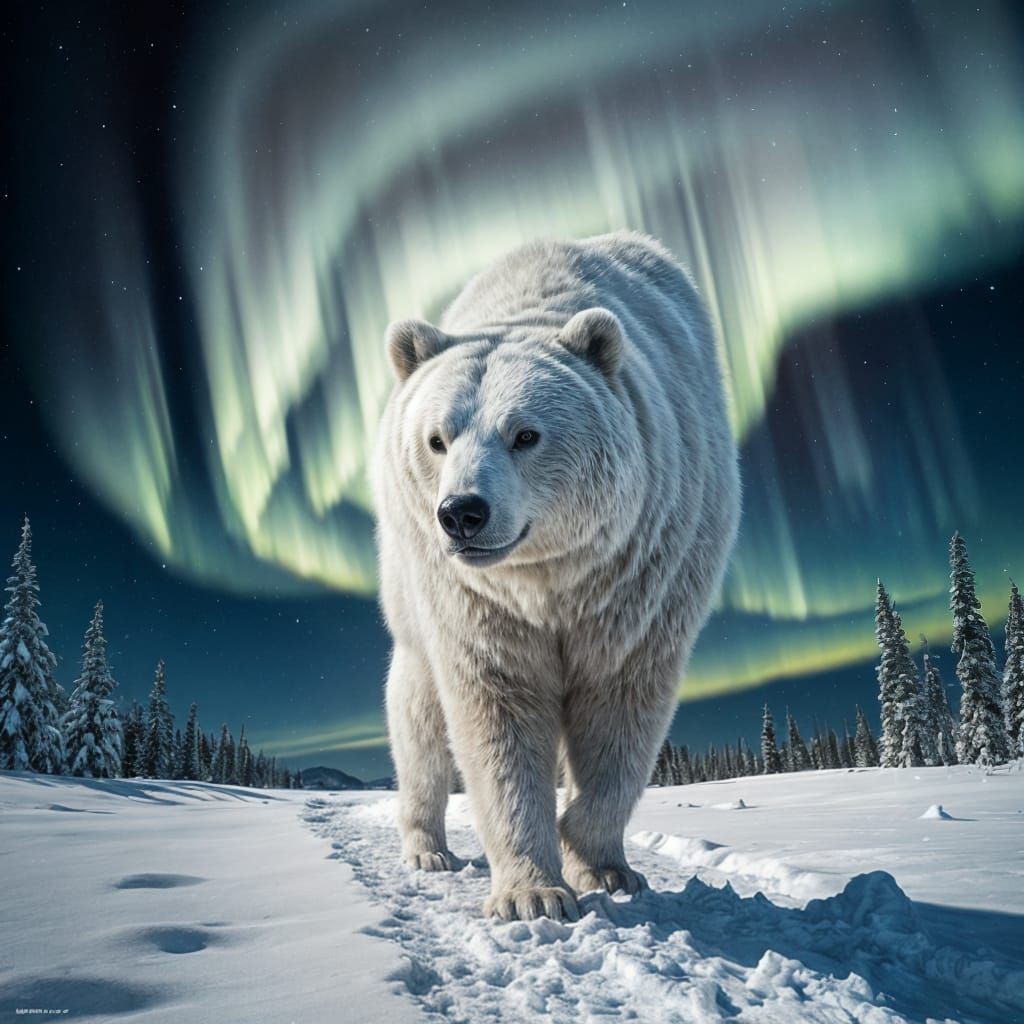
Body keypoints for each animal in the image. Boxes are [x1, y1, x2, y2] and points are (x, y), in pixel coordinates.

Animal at [372, 231, 740, 921]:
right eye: (437, 439)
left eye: (525, 434)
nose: (462, 513)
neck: (549, 578)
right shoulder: (478, 606)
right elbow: (499, 716)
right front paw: (534, 894)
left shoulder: (642, 579)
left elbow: (621, 712)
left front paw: (604, 865)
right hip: (407, 590)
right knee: (417, 719)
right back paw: (427, 848)